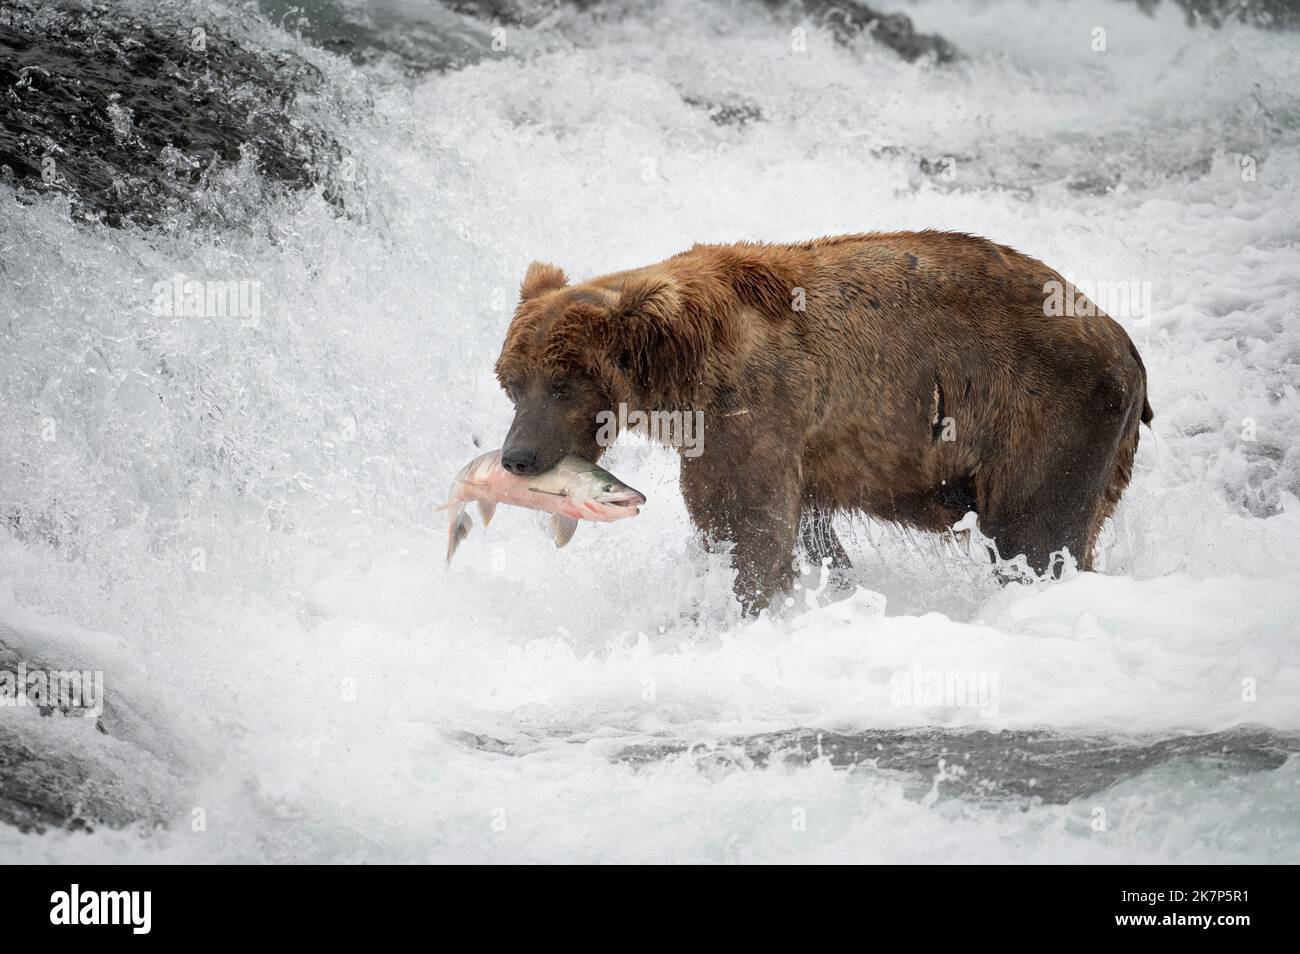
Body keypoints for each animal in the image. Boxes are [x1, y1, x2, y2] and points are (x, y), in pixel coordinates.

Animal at [491, 235, 1154, 616]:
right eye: (511, 382)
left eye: (563, 382)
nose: (517, 456)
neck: (688, 374)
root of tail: (1126, 343)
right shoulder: (746, 447)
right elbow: (766, 528)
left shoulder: (761, 414)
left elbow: (751, 531)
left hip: (1047, 415)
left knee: (1035, 536)